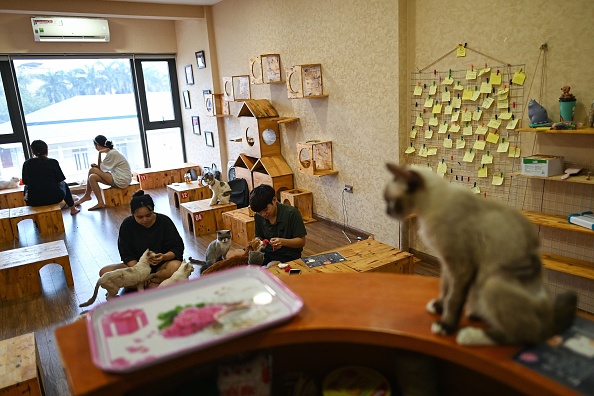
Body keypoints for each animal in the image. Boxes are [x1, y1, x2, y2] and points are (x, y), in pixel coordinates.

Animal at [382, 162, 576, 344]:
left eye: (391, 201)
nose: (387, 211)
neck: (429, 209)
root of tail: (549, 320)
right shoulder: (447, 263)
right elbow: (445, 289)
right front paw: (438, 307)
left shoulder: (461, 266)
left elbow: (453, 299)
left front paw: (446, 325)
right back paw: (477, 314)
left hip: (492, 284)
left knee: (521, 336)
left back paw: (468, 335)